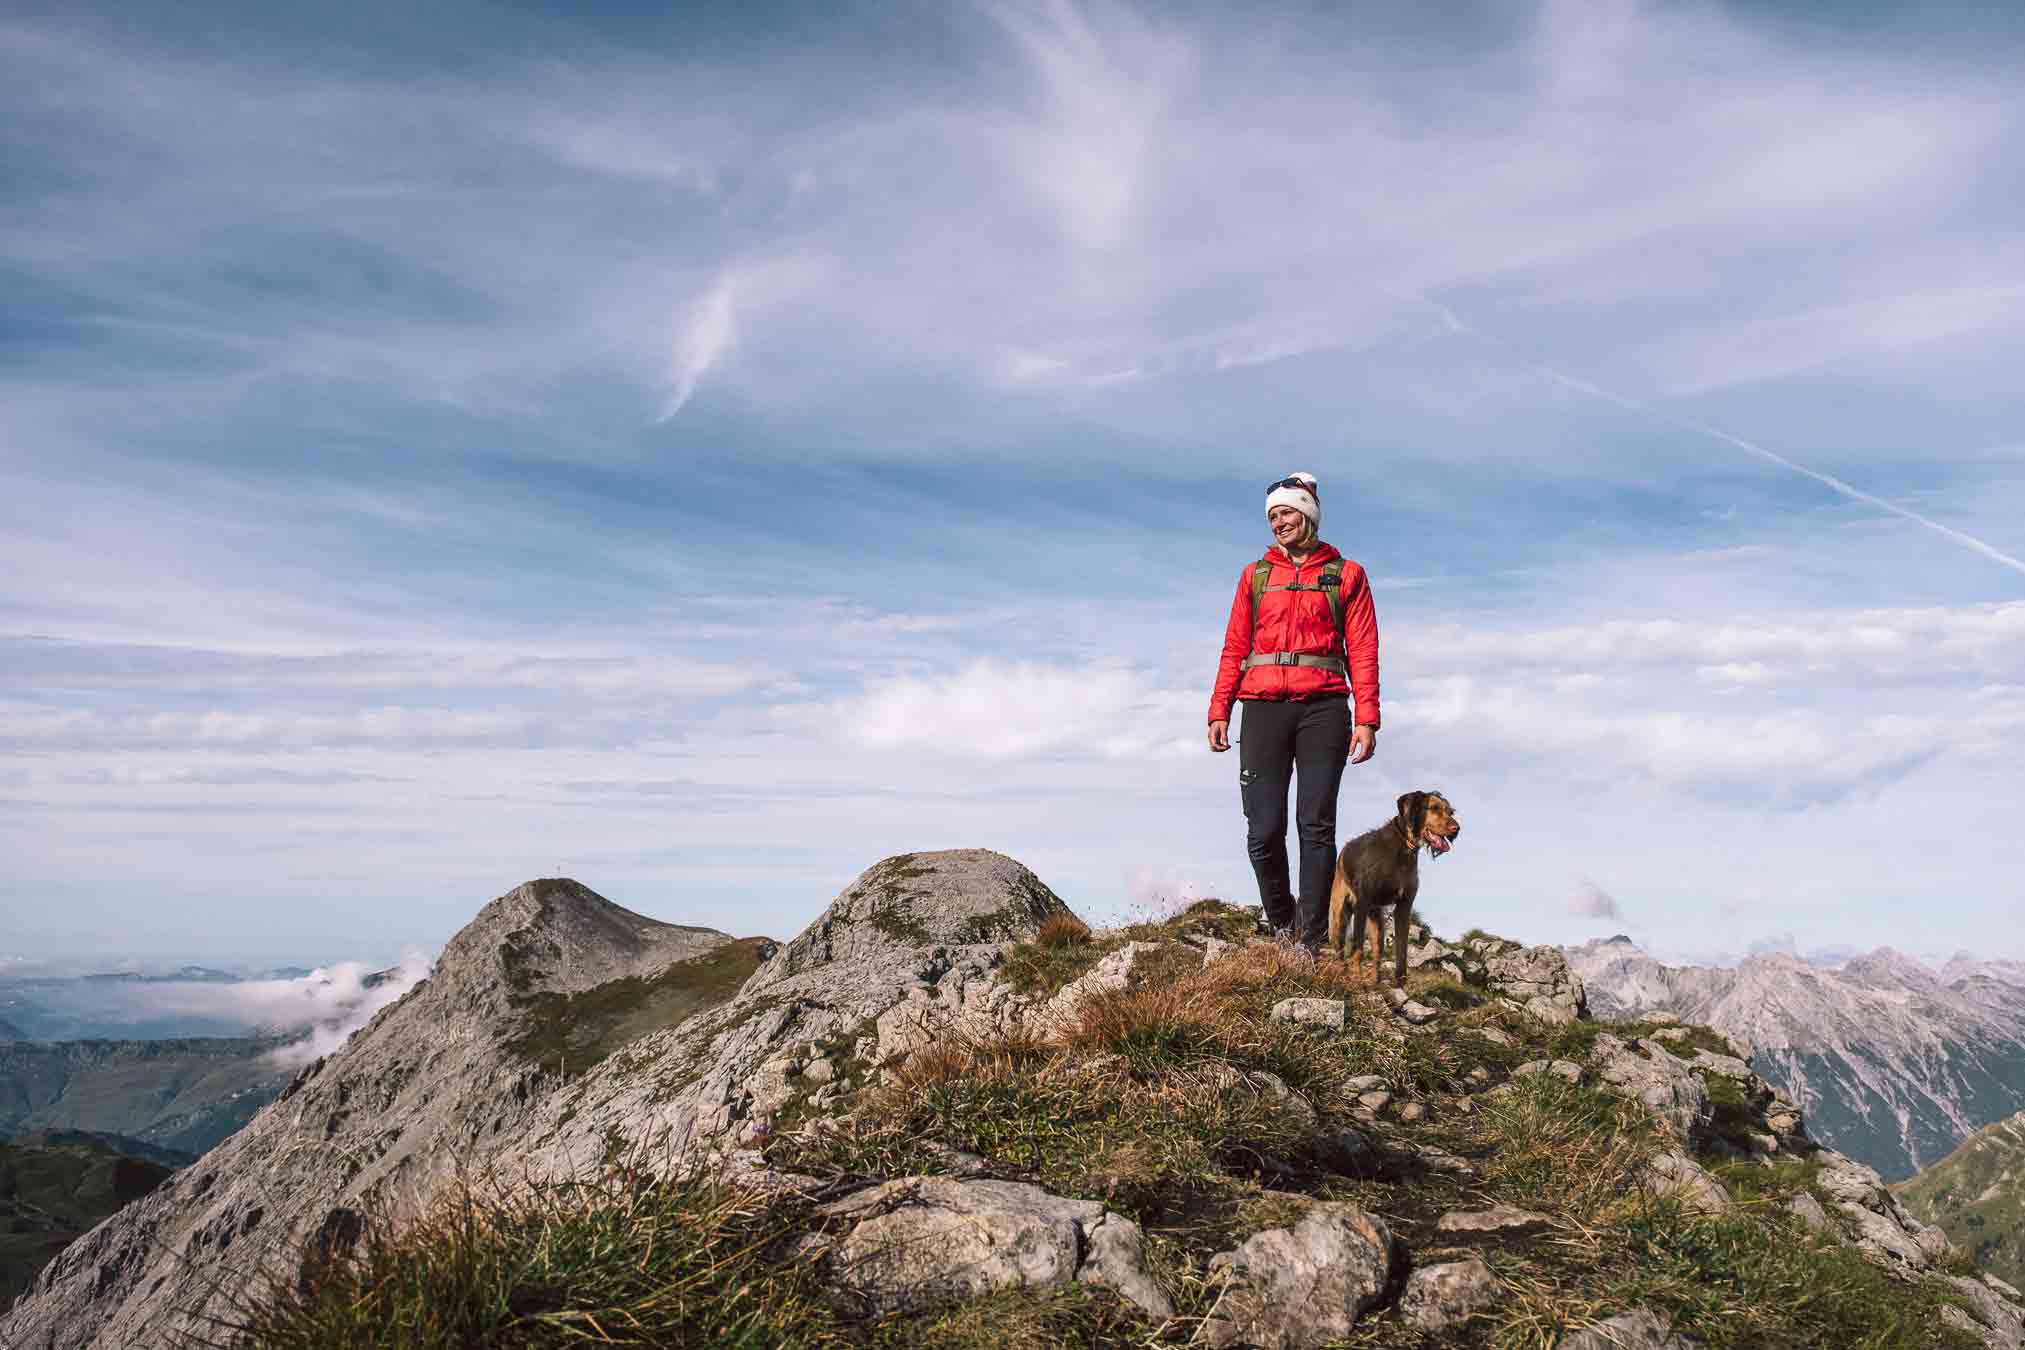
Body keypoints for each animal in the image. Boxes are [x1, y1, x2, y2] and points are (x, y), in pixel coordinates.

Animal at [1320, 785, 1466, 987]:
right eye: (1434, 808)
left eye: (1450, 812)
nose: (1456, 829)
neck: (1403, 848)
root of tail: (1344, 850)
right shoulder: (1362, 904)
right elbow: (1357, 946)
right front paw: (1357, 977)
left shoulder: (1404, 907)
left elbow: (1402, 951)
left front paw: (1400, 984)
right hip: (1339, 915)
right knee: (1341, 948)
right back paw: (1343, 972)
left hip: (1376, 919)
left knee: (1377, 951)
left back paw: (1376, 979)